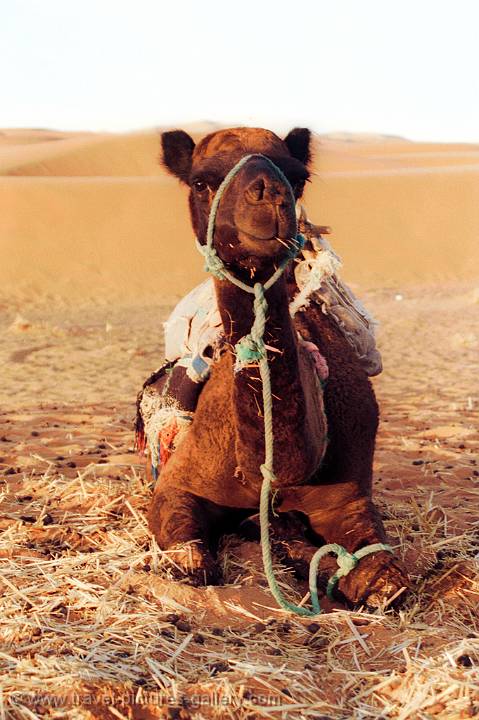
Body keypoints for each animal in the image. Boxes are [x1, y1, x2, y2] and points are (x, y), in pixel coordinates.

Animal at [145, 128, 408, 608]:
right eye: (201, 182)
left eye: (298, 177)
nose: (268, 195)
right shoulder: (178, 483)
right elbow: (193, 564)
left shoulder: (348, 498)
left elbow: (385, 583)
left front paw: (293, 543)